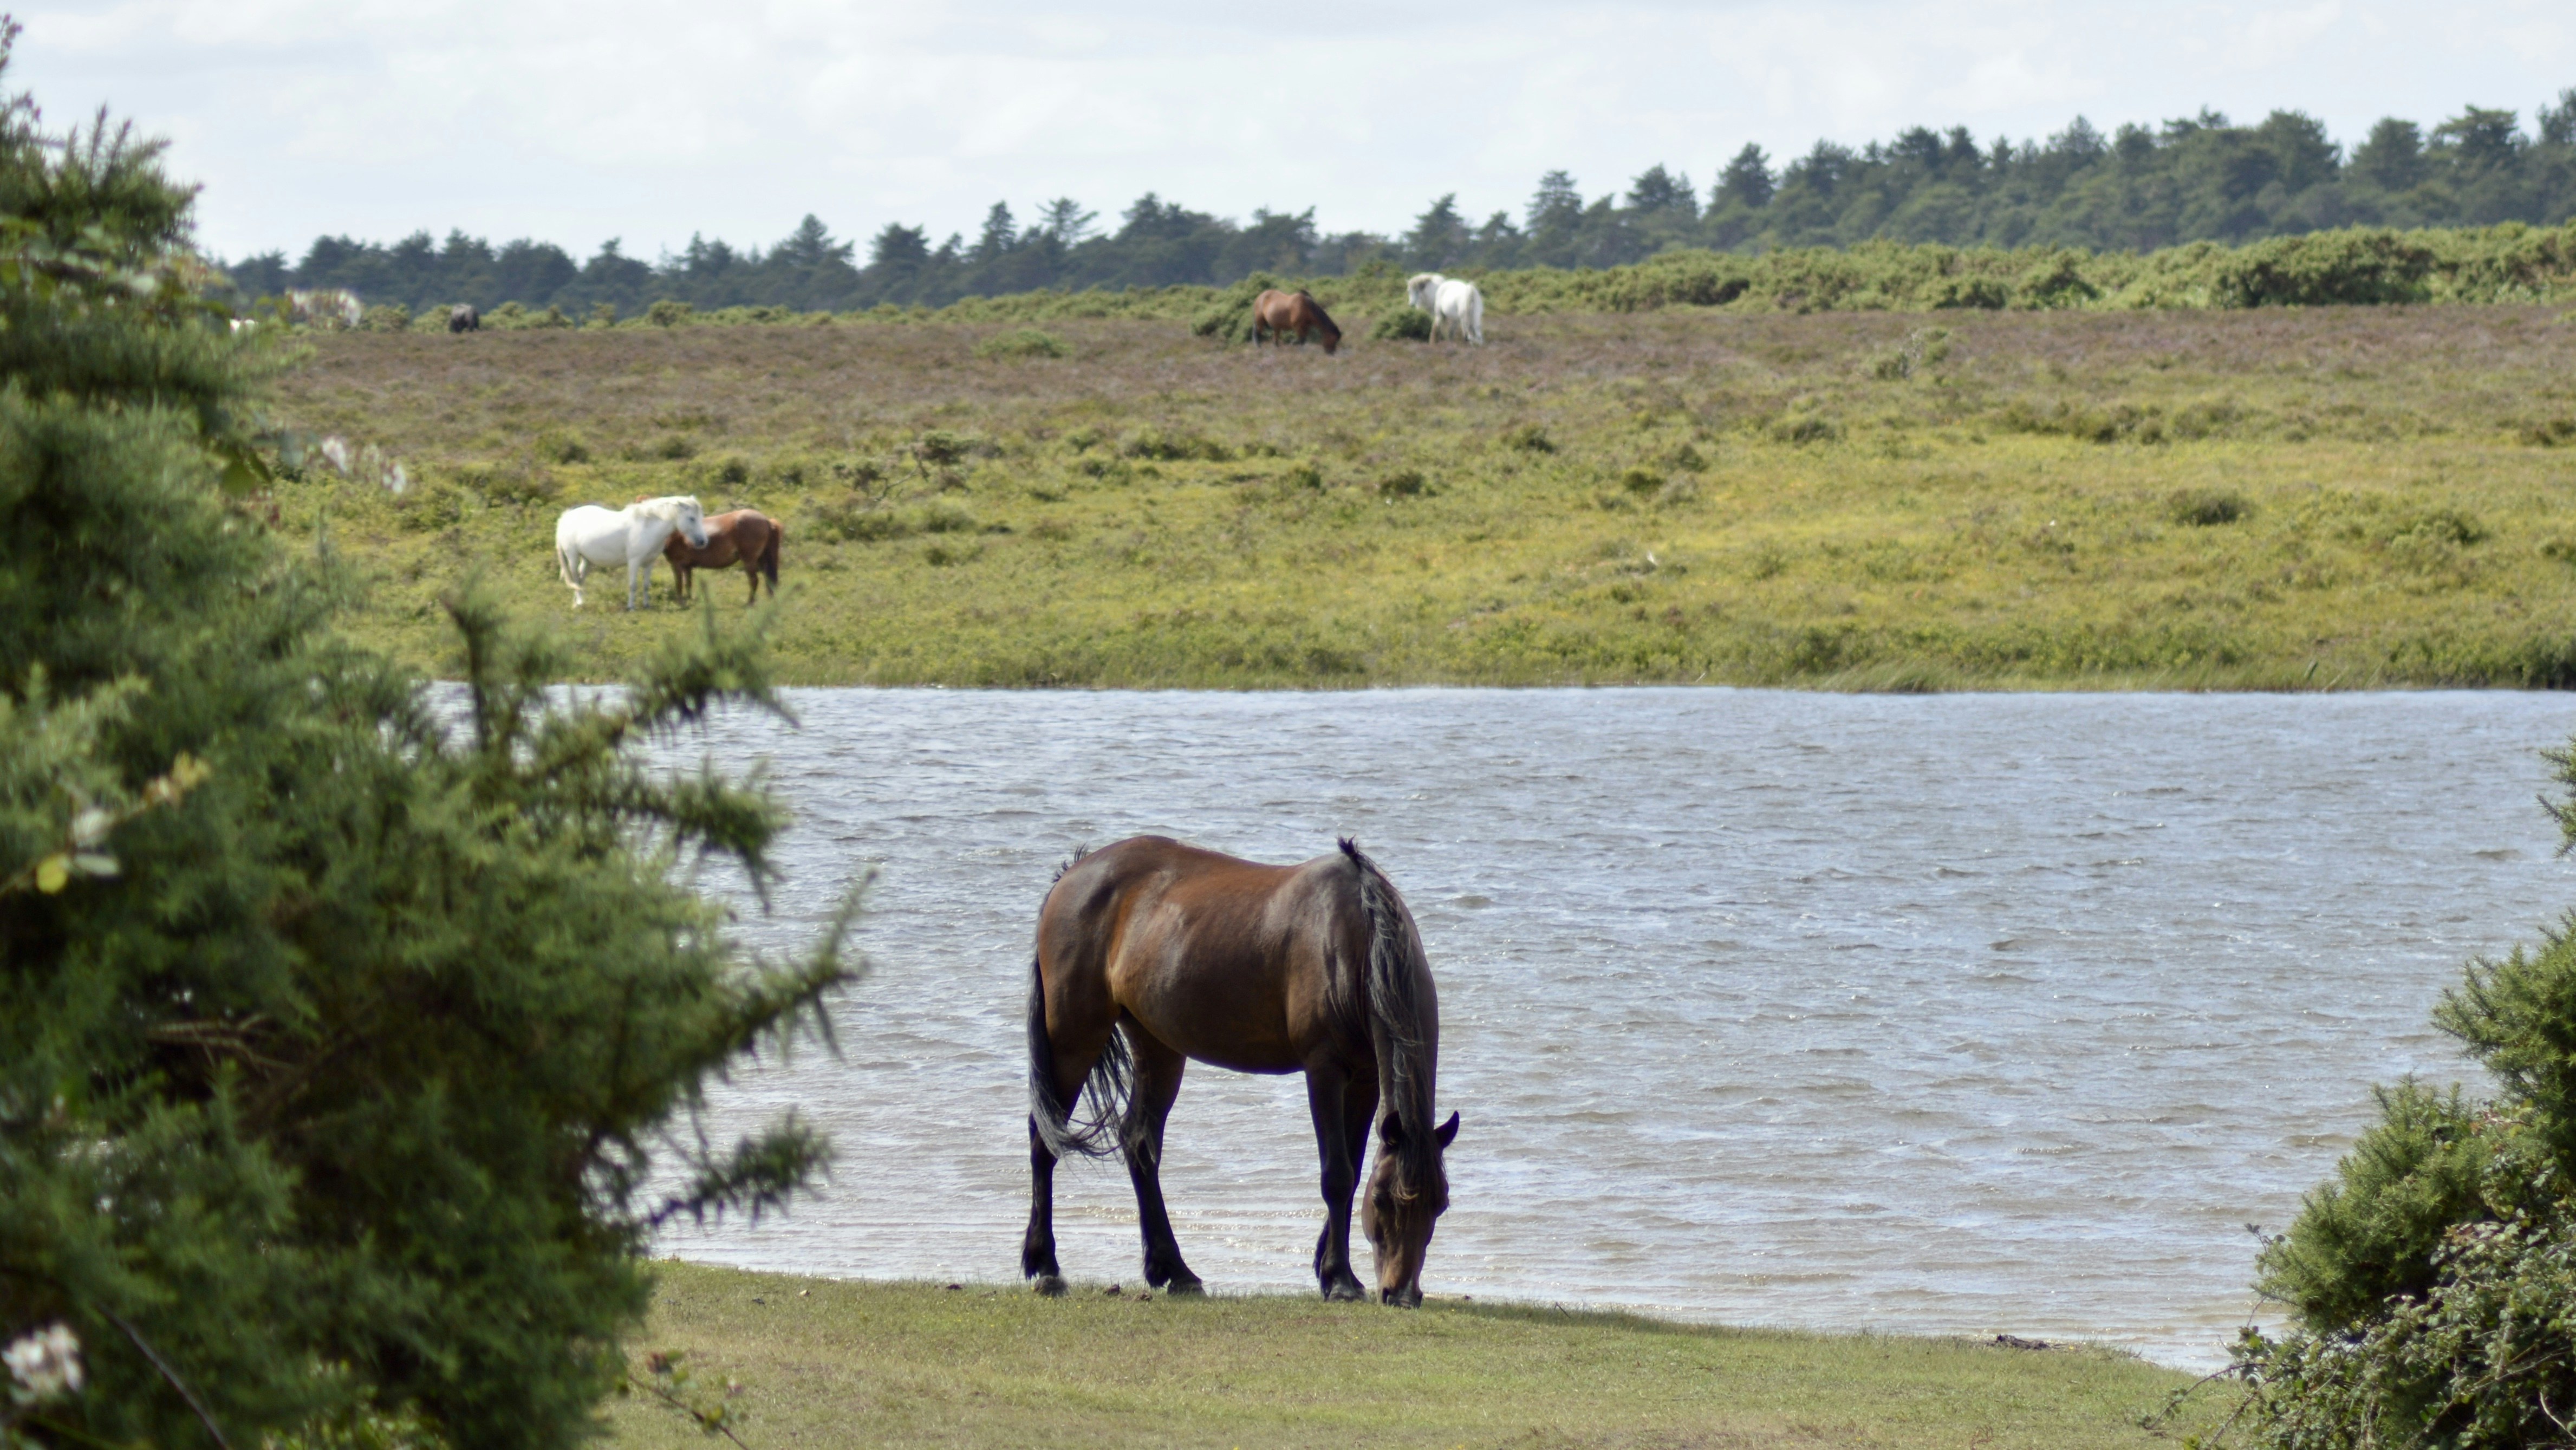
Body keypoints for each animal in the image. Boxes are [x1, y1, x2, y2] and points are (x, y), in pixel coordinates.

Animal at [554, 496, 708, 610]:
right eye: (692, 518)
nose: (703, 542)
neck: (647, 528)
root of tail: (566, 517)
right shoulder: (634, 561)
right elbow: (633, 585)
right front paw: (631, 607)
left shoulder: (650, 563)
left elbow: (646, 585)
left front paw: (647, 605)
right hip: (573, 557)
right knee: (575, 578)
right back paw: (579, 603)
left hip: (588, 560)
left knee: (580, 580)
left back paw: (577, 602)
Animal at [661, 508, 782, 605]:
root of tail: (766, 521)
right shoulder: (687, 567)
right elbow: (688, 583)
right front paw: (690, 599)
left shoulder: (677, 564)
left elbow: (679, 584)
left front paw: (681, 602)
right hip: (762, 559)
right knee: (768, 579)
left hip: (750, 560)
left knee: (754, 580)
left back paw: (750, 602)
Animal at [1023, 836, 1459, 1306]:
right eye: (1381, 1200)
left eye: (1440, 1203)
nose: (1402, 1293)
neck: (1357, 937)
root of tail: (1071, 875)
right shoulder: (1324, 1069)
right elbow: (1337, 1175)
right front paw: (1341, 1278)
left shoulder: (1364, 1078)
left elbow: (1354, 1164)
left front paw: (1329, 1269)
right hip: (1074, 1036)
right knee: (1044, 1138)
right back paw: (1046, 1266)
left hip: (1157, 1046)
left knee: (1138, 1141)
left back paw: (1174, 1271)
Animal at [1251, 289, 1343, 355]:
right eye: (1334, 340)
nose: (1331, 353)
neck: (1307, 308)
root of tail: (1260, 297)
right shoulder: (1298, 327)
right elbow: (1301, 340)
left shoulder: (1306, 327)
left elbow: (1304, 341)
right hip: (1260, 320)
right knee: (1257, 332)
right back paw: (1259, 347)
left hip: (1277, 327)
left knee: (1275, 340)